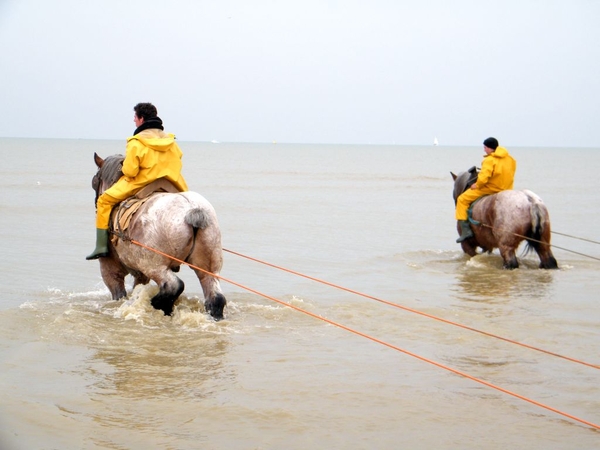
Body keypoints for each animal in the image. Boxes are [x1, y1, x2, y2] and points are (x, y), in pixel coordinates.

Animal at [90, 155, 226, 320]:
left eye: (94, 181)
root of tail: (192, 210)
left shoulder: (110, 270)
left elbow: (119, 293)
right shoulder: (141, 275)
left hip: (155, 266)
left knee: (174, 286)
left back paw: (157, 304)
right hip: (208, 267)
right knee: (215, 297)